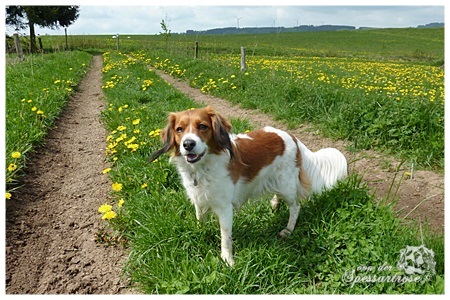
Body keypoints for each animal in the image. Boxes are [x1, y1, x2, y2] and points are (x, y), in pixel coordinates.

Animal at [151, 106, 348, 266]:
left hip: (286, 184)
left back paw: (288, 229)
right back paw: (274, 204)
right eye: (179, 129)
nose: (188, 144)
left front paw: (227, 260)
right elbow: (200, 220)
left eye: (202, 126)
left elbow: (225, 236)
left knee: (295, 207)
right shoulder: (199, 200)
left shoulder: (225, 207)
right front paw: (200, 233)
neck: (202, 167)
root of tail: (292, 136)